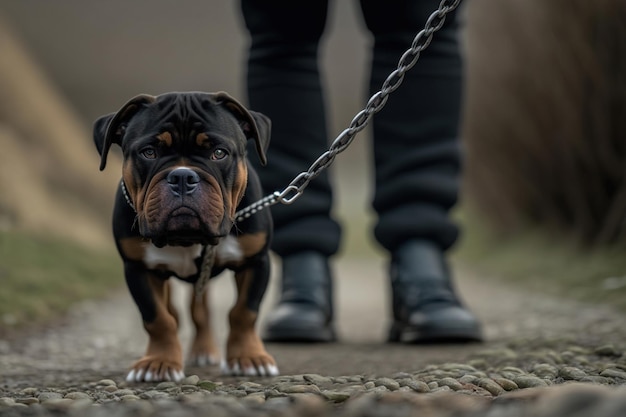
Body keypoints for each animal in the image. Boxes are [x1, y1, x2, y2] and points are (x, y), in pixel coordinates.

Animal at [93, 91, 278, 380]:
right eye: (149, 152)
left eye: (219, 153)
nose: (182, 176)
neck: (187, 239)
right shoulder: (137, 267)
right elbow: (158, 318)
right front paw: (159, 362)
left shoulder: (256, 260)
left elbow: (244, 312)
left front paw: (248, 357)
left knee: (200, 311)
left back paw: (204, 351)